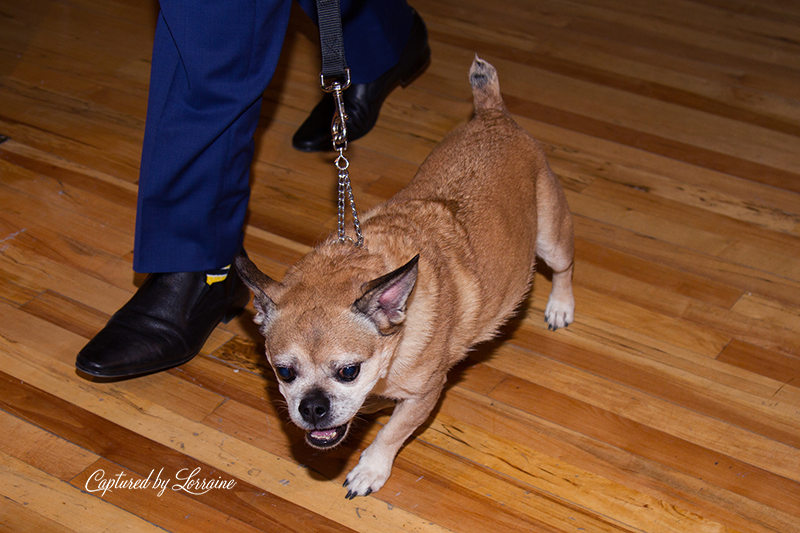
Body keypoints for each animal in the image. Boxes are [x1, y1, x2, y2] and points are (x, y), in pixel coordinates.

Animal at [234, 56, 572, 496]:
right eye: (284, 372)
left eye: (348, 371)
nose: (312, 407)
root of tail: (493, 115)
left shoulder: (424, 395)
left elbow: (391, 433)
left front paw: (370, 469)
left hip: (550, 239)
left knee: (564, 268)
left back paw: (560, 306)